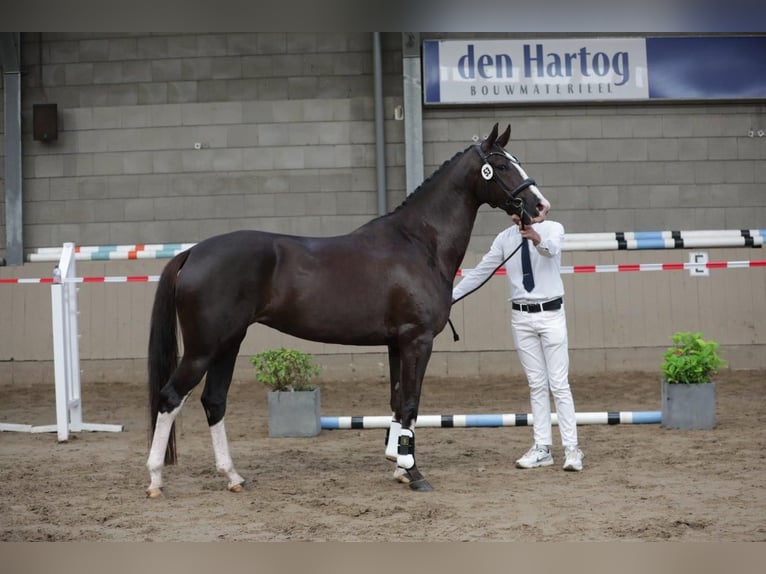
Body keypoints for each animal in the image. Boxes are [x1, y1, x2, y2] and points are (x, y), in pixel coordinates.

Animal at [146, 122, 552, 500]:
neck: (418, 244)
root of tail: (192, 252)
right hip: (202, 349)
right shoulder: (417, 340)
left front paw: (399, 467)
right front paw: (415, 474)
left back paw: (233, 476)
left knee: (214, 401)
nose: (540, 207)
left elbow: (397, 403)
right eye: (502, 165)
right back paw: (155, 480)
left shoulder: (396, 343)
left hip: (228, 344)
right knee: (170, 398)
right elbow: (411, 403)